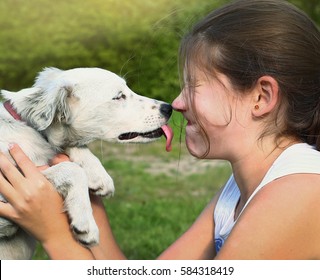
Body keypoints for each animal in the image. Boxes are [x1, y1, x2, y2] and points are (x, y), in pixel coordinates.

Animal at [0, 67, 172, 258]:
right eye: (119, 96)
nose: (169, 108)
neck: (30, 127)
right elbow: (72, 169)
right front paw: (86, 223)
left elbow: (75, 148)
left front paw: (99, 175)